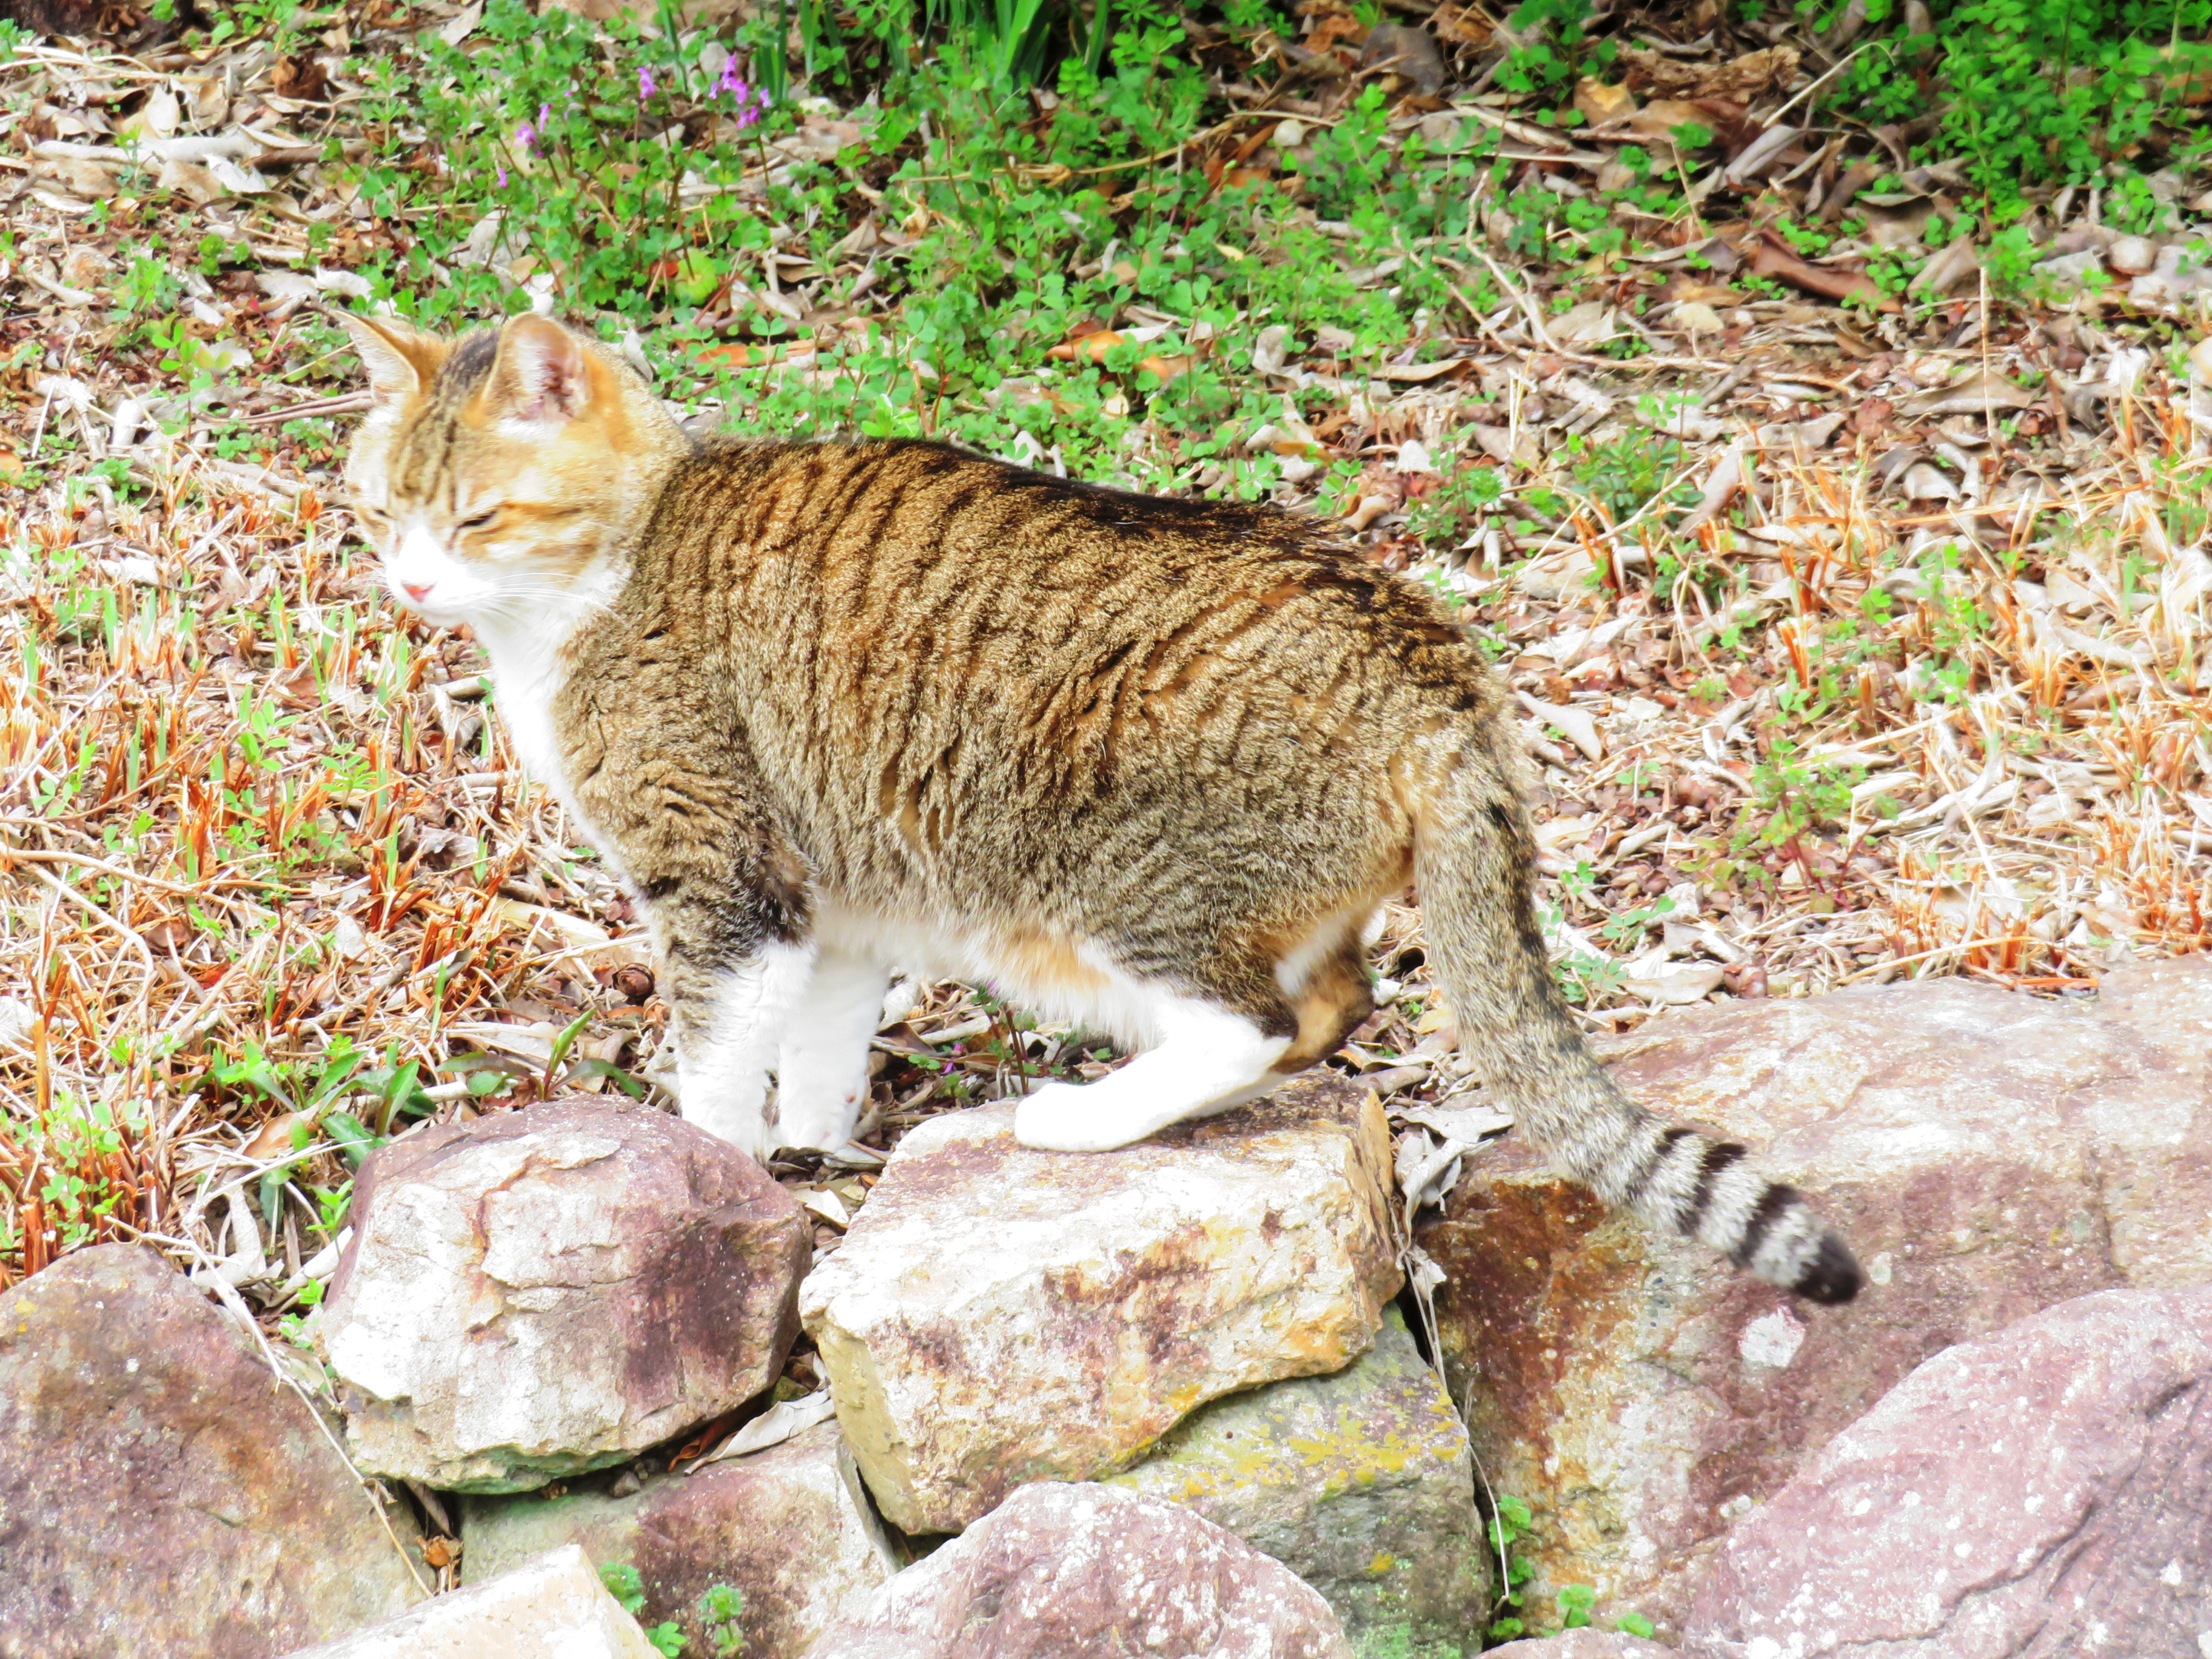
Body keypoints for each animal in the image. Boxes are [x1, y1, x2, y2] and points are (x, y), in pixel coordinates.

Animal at [340, 305, 1866, 1309]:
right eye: (381, 512)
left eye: (473, 518)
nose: (409, 581)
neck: (612, 565)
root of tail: (1428, 660)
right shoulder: (834, 902)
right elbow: (821, 1049)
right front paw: (818, 1149)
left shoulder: (721, 873)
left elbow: (713, 1063)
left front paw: (713, 1174)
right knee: (1331, 1004)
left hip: (1104, 876)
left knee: (1251, 1020)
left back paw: (1081, 1118)